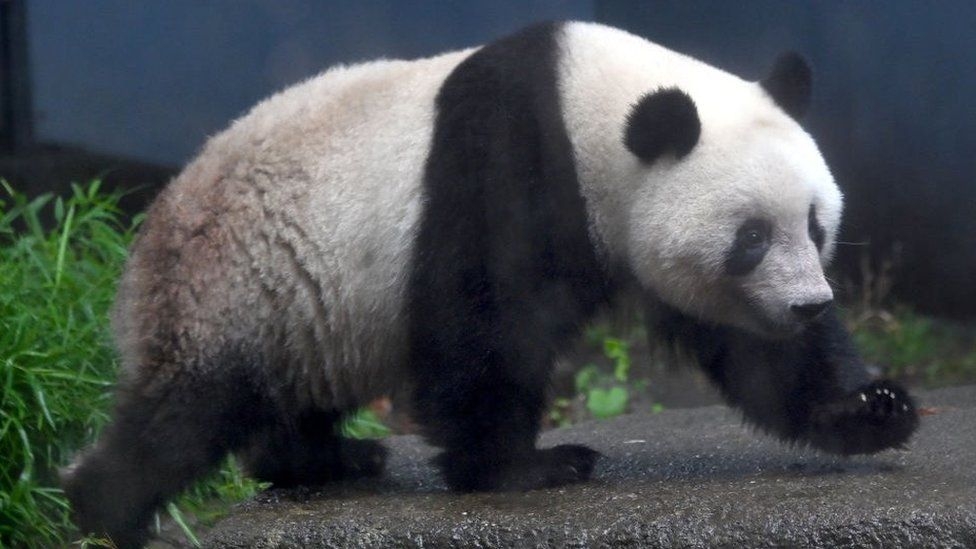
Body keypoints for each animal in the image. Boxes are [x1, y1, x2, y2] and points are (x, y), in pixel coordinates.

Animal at [63, 21, 919, 547]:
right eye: (750, 239)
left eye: (815, 224)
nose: (809, 302)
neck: (589, 104)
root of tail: (145, 244)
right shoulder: (506, 158)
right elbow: (482, 321)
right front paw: (528, 467)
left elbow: (753, 351)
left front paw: (871, 407)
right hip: (231, 287)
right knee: (184, 417)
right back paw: (107, 513)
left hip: (305, 311)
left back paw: (331, 458)